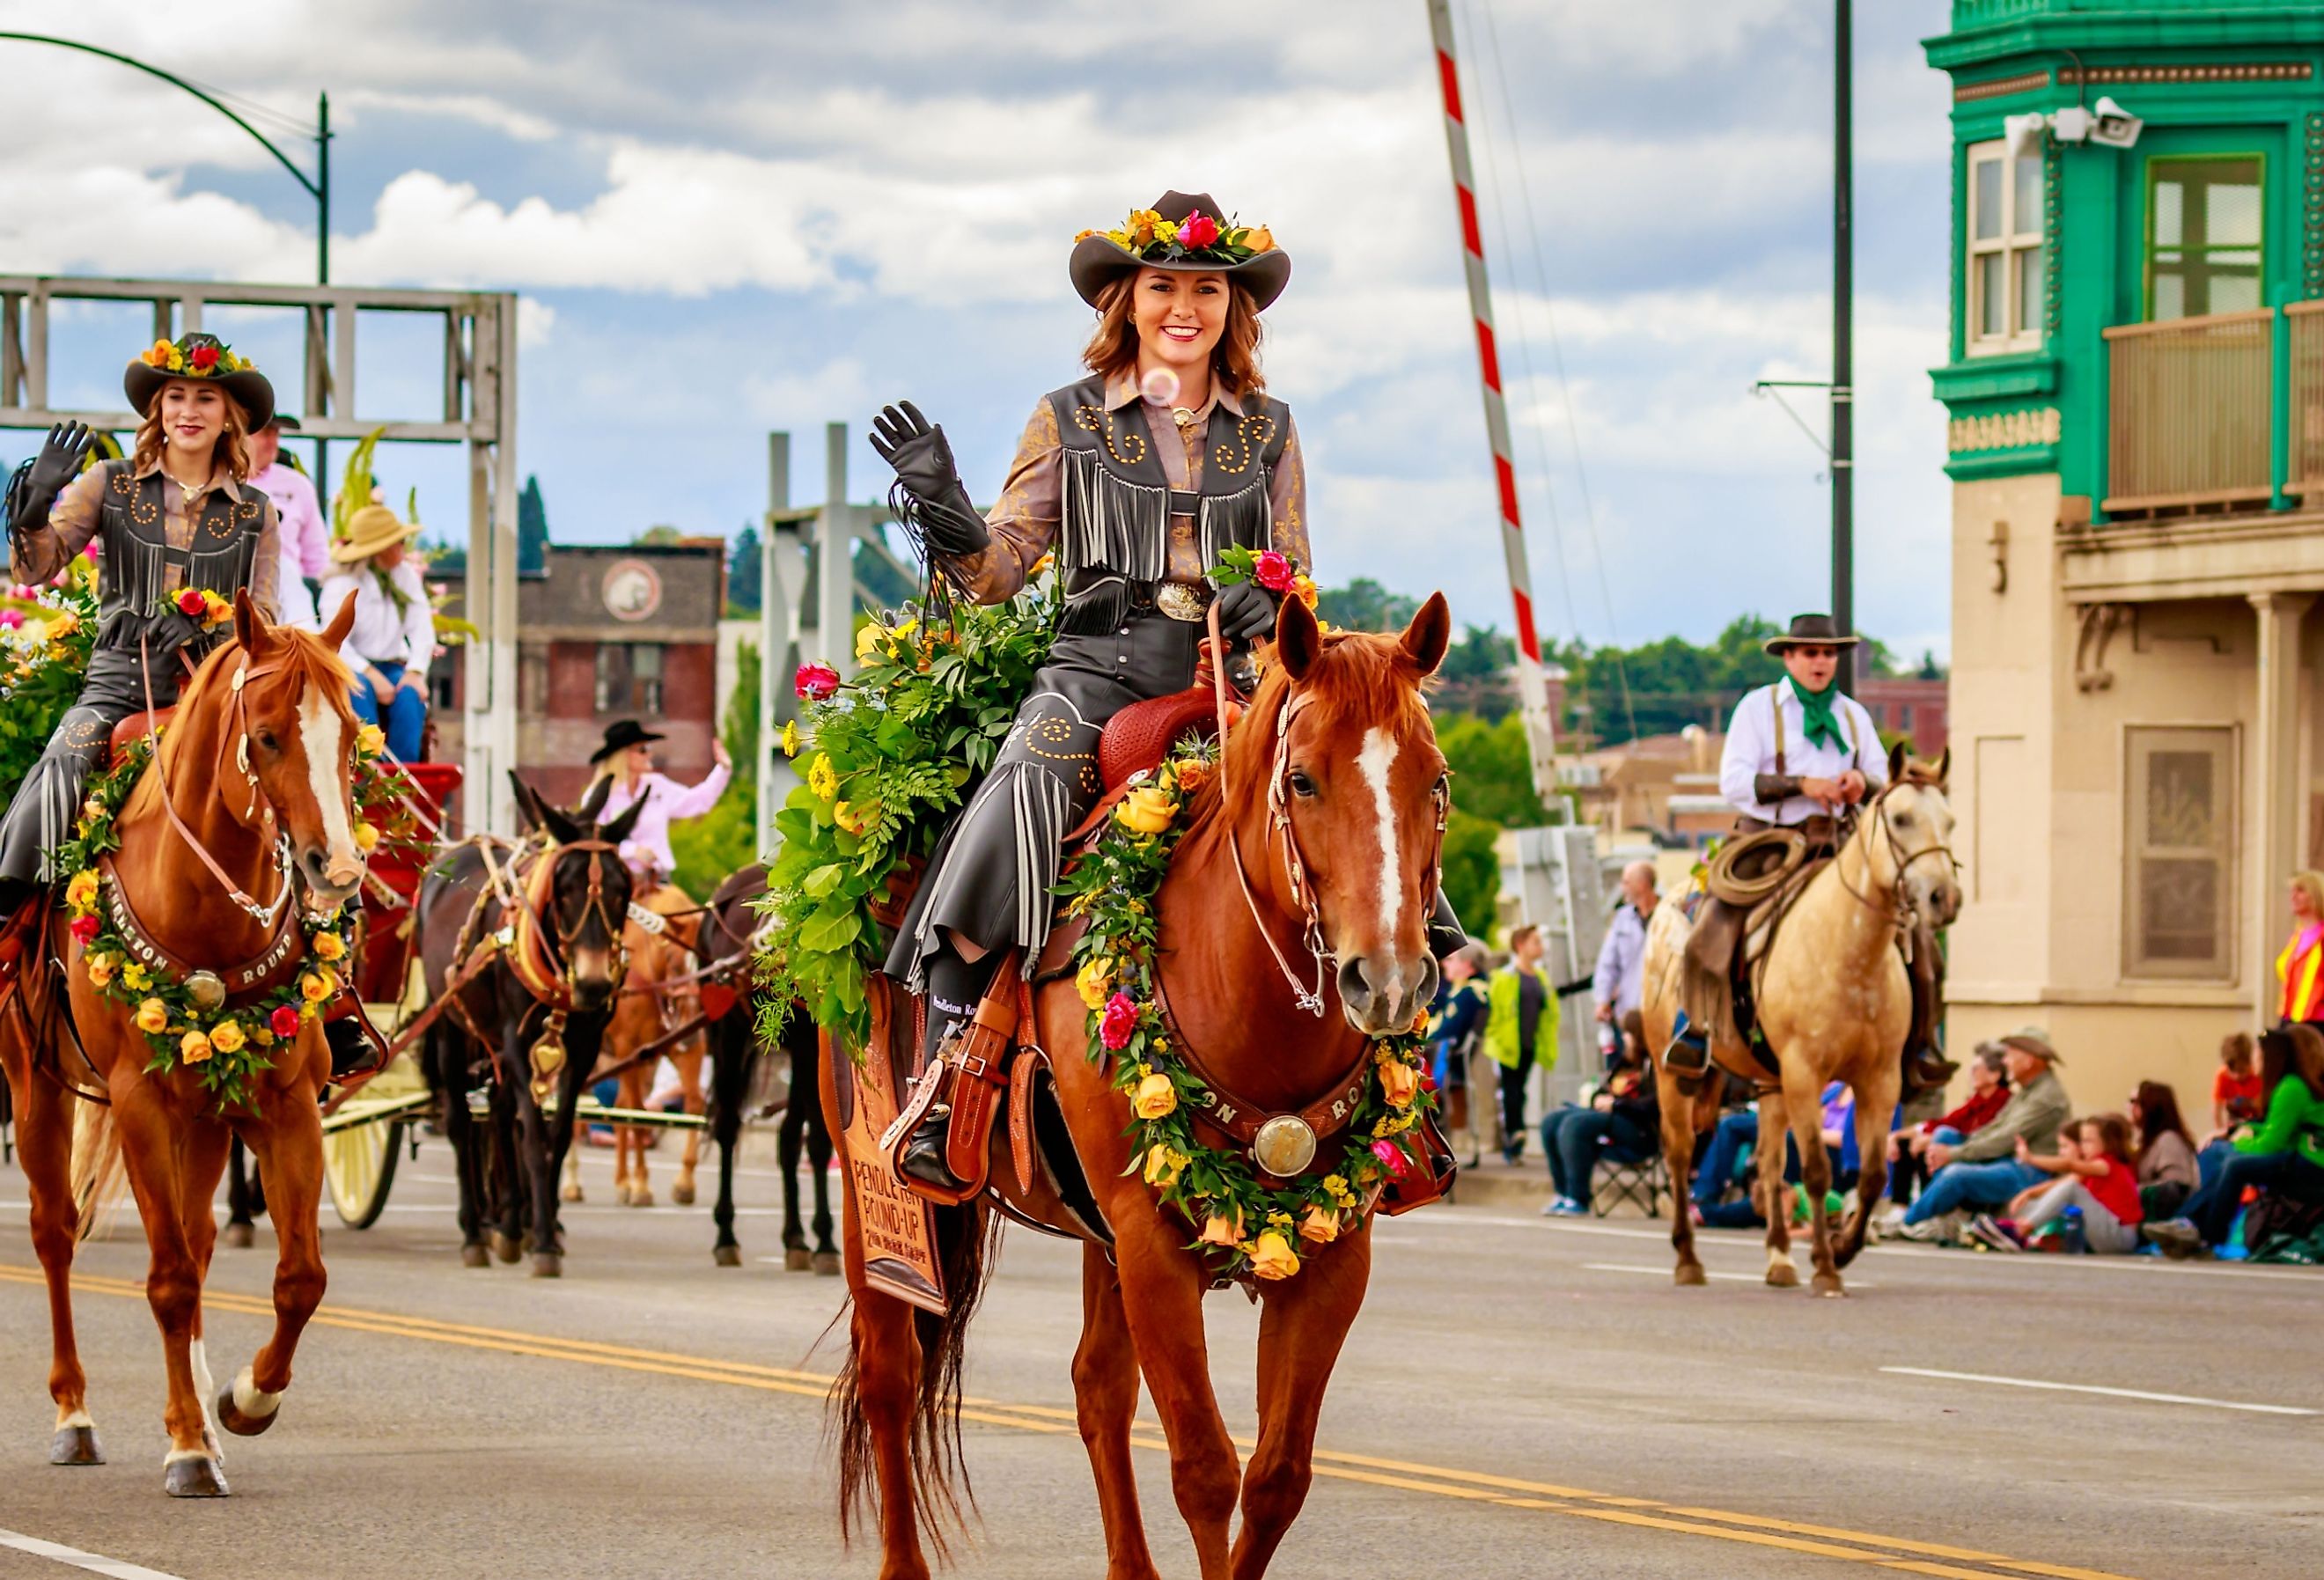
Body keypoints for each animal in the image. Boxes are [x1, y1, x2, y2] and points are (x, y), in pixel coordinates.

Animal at [0, 590, 364, 1495]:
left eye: (349, 732)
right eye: (267, 735)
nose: (337, 870)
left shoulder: (285, 1105)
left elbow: (299, 1277)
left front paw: (243, 1402)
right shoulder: (139, 1105)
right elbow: (165, 1280)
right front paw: (190, 1450)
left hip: (205, 1117)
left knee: (199, 1246)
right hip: (36, 1083)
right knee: (54, 1233)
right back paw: (75, 1416)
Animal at [413, 771, 641, 1273]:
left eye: (623, 890)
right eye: (565, 887)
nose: (593, 984)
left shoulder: (582, 1049)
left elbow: (557, 1133)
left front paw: (539, 1225)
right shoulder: (517, 1044)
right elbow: (532, 1135)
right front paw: (541, 1241)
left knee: (496, 1114)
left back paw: (505, 1224)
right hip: (450, 1027)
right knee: (461, 1122)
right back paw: (474, 1232)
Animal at [832, 594, 1450, 1580]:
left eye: (1434, 781)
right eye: (1304, 781)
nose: (1385, 978)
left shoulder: (1333, 1260)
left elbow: (1276, 1479)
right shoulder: (1153, 1249)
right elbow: (1205, 1468)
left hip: (1097, 1232)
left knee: (1097, 1387)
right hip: (870, 1185)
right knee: (891, 1371)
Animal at [1636, 747, 1961, 1291]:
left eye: (1950, 821)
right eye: (1900, 819)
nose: (1944, 897)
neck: (1852, 956)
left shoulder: (1880, 1079)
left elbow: (1870, 1175)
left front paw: (1843, 1250)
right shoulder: (1806, 1072)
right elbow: (1816, 1171)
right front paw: (1827, 1268)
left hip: (1771, 1083)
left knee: (1769, 1164)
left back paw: (1780, 1259)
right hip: (1670, 1074)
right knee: (1680, 1154)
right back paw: (1688, 1259)